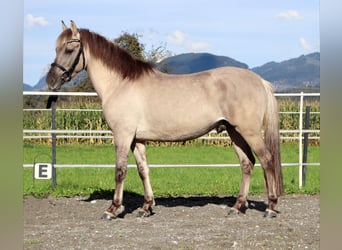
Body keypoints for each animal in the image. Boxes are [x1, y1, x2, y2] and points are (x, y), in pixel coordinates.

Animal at [46, 21, 284, 219]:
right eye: (56, 48)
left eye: (69, 48)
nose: (51, 81)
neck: (120, 84)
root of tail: (259, 80)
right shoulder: (137, 140)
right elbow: (143, 170)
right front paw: (146, 207)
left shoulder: (123, 136)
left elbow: (120, 171)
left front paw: (113, 209)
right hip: (234, 132)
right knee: (247, 163)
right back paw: (237, 206)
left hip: (249, 131)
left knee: (267, 159)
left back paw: (271, 207)